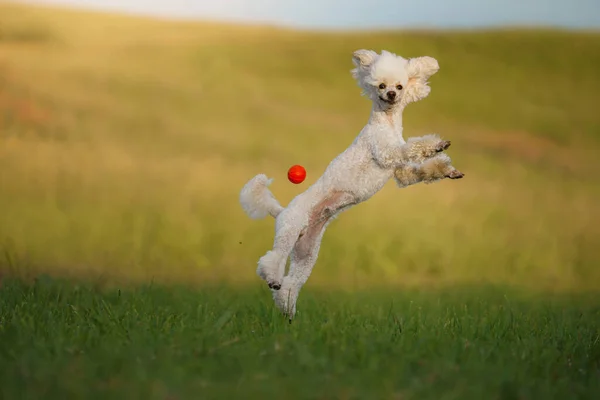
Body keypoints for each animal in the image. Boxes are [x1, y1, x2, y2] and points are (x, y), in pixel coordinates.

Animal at [240, 49, 464, 318]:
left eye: (399, 86)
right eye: (381, 85)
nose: (392, 94)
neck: (387, 123)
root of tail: (281, 210)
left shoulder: (400, 172)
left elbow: (417, 172)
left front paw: (446, 170)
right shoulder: (386, 152)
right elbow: (413, 146)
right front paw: (436, 145)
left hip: (306, 252)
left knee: (291, 283)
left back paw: (288, 310)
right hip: (289, 230)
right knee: (272, 259)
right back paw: (272, 279)